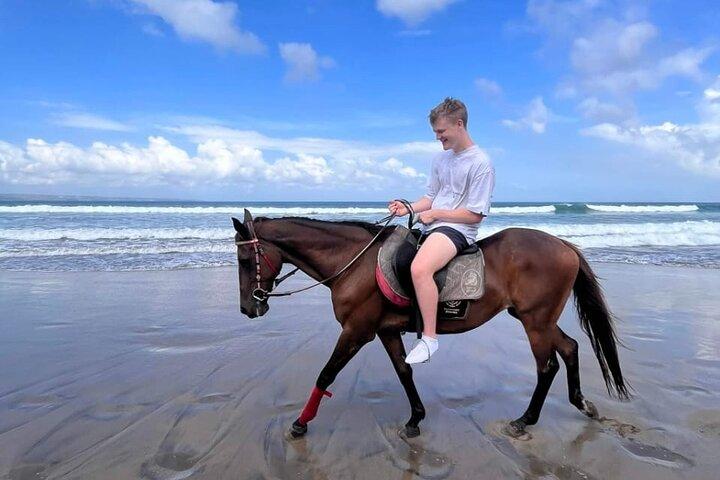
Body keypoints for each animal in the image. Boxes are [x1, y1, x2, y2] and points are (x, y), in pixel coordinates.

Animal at [231, 210, 629, 440]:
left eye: (243, 258)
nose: (248, 308)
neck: (353, 264)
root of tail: (563, 245)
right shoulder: (385, 331)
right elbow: (403, 372)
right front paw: (415, 419)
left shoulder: (357, 331)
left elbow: (326, 374)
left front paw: (300, 423)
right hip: (536, 318)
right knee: (570, 348)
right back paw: (582, 404)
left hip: (535, 322)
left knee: (546, 366)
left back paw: (525, 420)